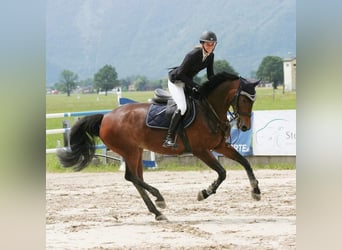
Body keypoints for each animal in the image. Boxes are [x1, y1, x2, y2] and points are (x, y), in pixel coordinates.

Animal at [57, 72, 262, 221]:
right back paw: (160, 198)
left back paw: (157, 211)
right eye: (244, 99)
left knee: (135, 178)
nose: (245, 127)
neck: (209, 109)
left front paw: (256, 191)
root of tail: (105, 117)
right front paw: (205, 193)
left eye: (253, 100)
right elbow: (222, 172)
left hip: (137, 151)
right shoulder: (201, 151)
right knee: (131, 176)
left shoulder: (220, 146)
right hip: (130, 151)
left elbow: (245, 163)